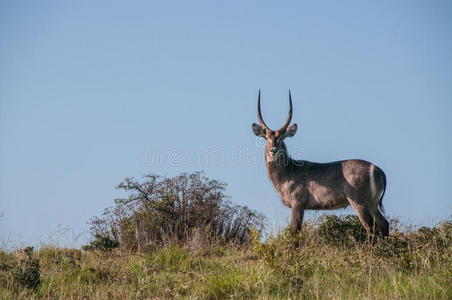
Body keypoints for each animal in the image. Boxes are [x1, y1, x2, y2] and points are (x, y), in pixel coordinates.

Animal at [252, 90, 390, 238]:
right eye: (266, 137)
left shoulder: (298, 204)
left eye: (282, 137)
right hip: (372, 203)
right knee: (384, 224)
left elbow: (295, 232)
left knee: (370, 227)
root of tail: (377, 170)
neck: (288, 171)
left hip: (359, 202)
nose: (273, 150)